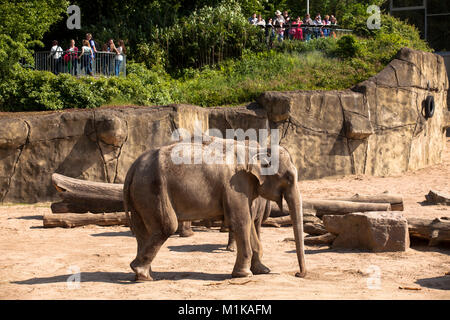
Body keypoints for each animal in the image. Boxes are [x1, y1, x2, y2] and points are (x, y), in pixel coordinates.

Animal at [123, 135, 306, 280]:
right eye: (289, 177)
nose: (299, 274)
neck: (254, 149)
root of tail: (132, 168)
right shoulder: (235, 184)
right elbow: (242, 221)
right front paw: (244, 275)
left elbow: (248, 220)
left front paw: (263, 270)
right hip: (153, 190)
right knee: (166, 226)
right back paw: (143, 274)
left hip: (140, 196)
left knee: (143, 231)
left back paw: (144, 275)